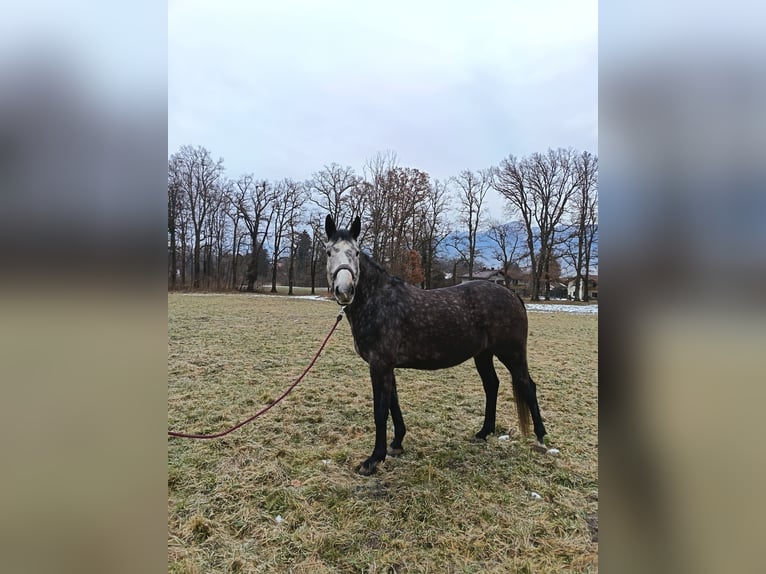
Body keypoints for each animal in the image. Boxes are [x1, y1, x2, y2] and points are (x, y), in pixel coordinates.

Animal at [325, 215, 547, 475]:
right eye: (329, 251)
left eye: (356, 252)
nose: (345, 290)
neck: (378, 301)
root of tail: (511, 294)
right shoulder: (386, 366)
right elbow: (393, 404)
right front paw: (396, 443)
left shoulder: (379, 365)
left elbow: (380, 411)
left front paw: (373, 459)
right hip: (483, 354)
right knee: (492, 385)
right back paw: (483, 433)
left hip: (511, 353)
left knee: (527, 386)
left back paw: (541, 438)